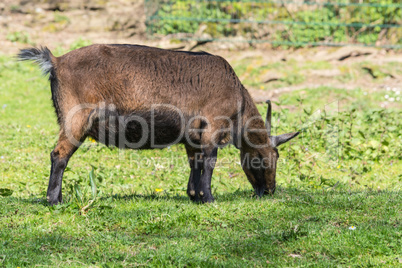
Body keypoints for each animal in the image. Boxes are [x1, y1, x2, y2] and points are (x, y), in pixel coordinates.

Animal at [17, 44, 298, 204]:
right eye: (265, 157)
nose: (269, 191)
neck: (236, 95)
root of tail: (56, 61)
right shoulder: (212, 127)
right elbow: (209, 161)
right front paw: (208, 198)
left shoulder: (192, 135)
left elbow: (195, 163)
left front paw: (194, 196)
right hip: (76, 119)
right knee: (59, 155)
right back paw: (54, 200)